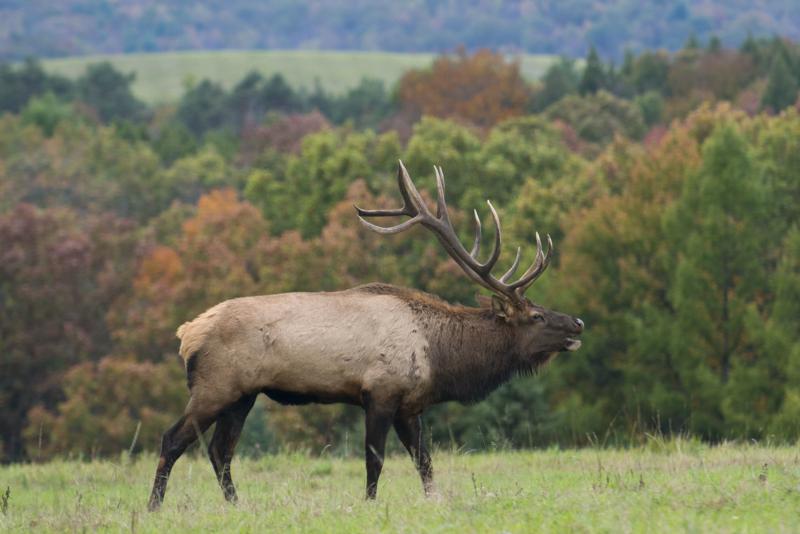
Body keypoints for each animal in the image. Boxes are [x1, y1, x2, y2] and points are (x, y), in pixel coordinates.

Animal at [147, 161, 584, 511]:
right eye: (537, 315)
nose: (578, 323)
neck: (439, 356)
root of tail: (187, 333)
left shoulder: (410, 406)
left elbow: (424, 461)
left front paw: (434, 501)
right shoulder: (380, 392)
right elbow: (375, 459)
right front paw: (370, 505)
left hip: (243, 395)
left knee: (220, 450)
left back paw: (237, 505)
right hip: (215, 386)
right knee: (173, 440)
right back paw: (154, 506)